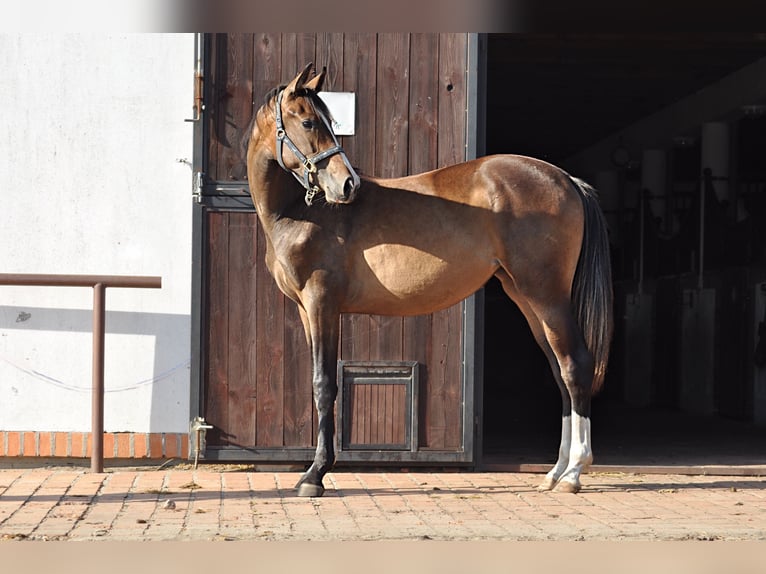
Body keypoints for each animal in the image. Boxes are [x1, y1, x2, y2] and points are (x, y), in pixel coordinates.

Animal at [249, 62, 616, 496]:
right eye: (308, 121)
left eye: (326, 122)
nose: (347, 184)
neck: (301, 212)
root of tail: (566, 179)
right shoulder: (308, 311)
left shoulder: (322, 303)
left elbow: (324, 385)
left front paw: (315, 475)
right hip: (528, 299)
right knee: (560, 371)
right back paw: (555, 472)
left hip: (547, 295)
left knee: (575, 366)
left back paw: (575, 471)